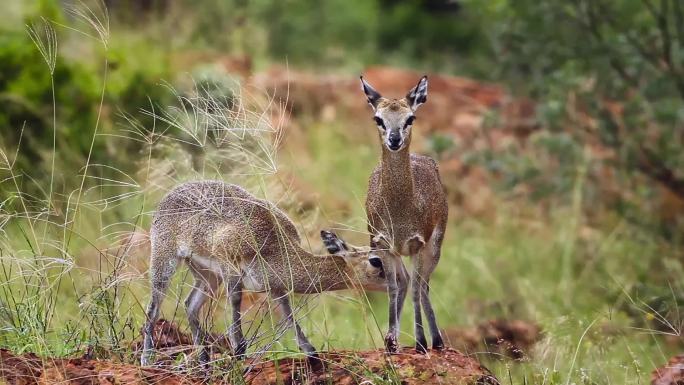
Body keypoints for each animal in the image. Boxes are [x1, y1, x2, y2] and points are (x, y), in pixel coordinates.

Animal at [140, 180, 384, 366]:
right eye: (376, 260)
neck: (276, 247)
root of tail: (169, 195)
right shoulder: (232, 269)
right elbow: (236, 304)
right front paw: (239, 351)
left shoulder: (275, 287)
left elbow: (288, 314)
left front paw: (311, 352)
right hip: (165, 260)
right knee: (153, 309)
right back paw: (147, 359)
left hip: (207, 275)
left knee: (190, 304)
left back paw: (204, 359)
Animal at [358, 76, 448, 354]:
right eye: (378, 118)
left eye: (410, 118)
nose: (394, 140)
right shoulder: (384, 245)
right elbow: (394, 287)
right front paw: (390, 341)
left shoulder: (417, 244)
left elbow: (417, 289)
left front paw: (420, 342)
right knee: (407, 281)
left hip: (435, 246)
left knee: (423, 285)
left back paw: (437, 341)